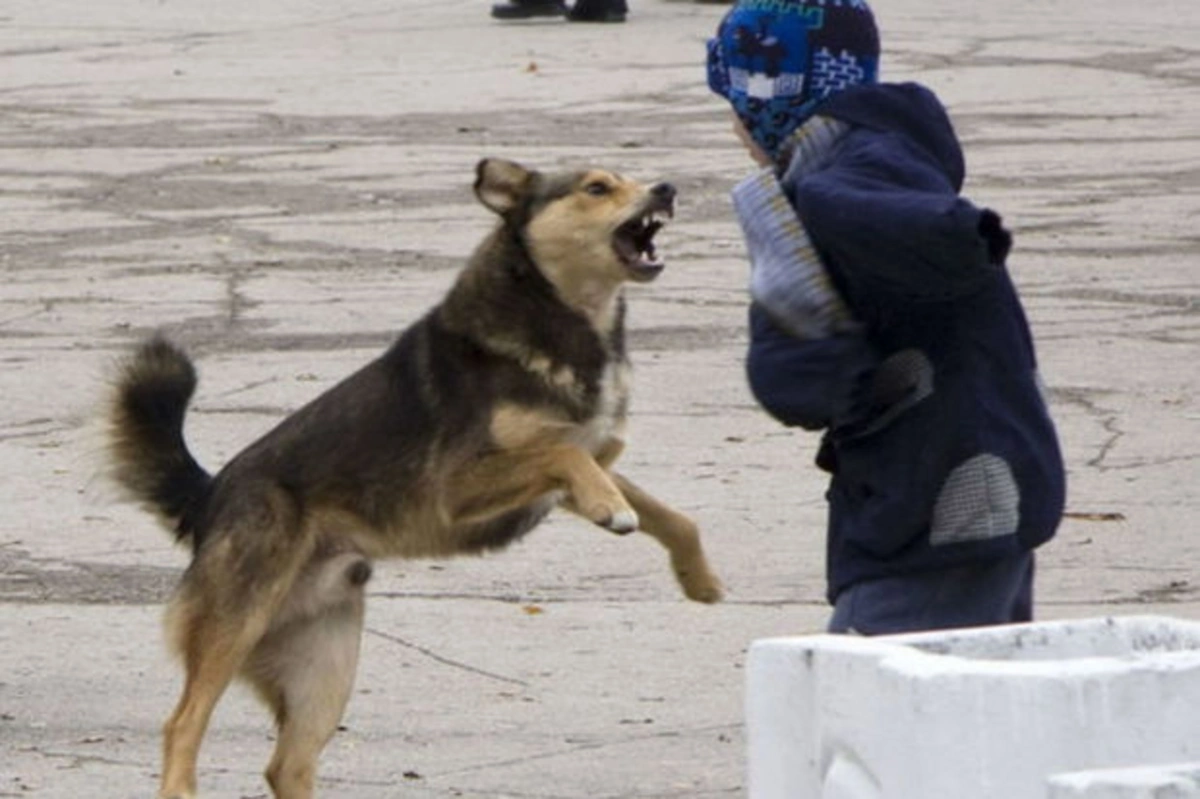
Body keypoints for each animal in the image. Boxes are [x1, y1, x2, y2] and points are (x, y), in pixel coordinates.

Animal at [110, 157, 720, 796]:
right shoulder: (461, 486)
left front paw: (698, 577)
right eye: (597, 188)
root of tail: (209, 499)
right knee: (183, 725)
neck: (564, 316)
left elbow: (673, 515)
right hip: (237, 621)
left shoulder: (576, 475)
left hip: (323, 662)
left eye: (630, 179)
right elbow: (564, 456)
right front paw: (615, 513)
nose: (666, 189)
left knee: (287, 765)